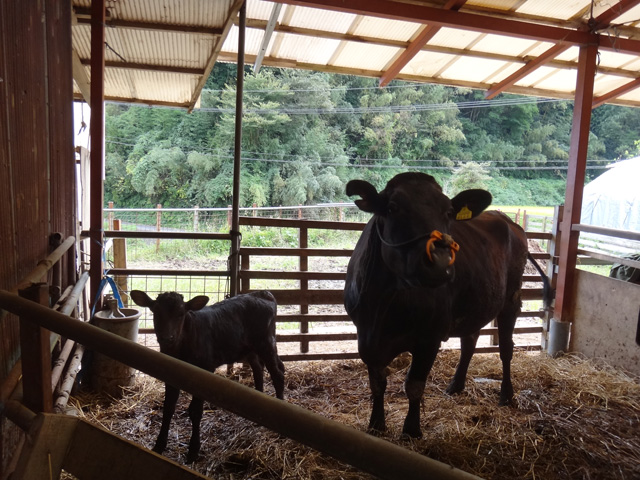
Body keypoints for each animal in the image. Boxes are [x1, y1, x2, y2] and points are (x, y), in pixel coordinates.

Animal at [130, 288, 284, 462]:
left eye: (181, 314)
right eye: (156, 312)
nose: (167, 338)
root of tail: (262, 292)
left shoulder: (205, 370)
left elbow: (195, 411)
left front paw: (193, 450)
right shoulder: (170, 373)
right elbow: (168, 408)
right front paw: (159, 445)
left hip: (266, 343)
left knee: (278, 374)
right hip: (250, 349)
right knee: (258, 368)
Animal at [344, 172, 552, 438]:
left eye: (449, 212)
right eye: (392, 208)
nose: (440, 262)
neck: (382, 306)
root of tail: (506, 219)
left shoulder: (429, 338)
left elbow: (414, 384)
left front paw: (411, 430)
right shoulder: (366, 338)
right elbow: (377, 383)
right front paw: (376, 425)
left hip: (512, 299)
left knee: (506, 348)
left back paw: (506, 394)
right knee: (469, 342)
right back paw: (456, 384)